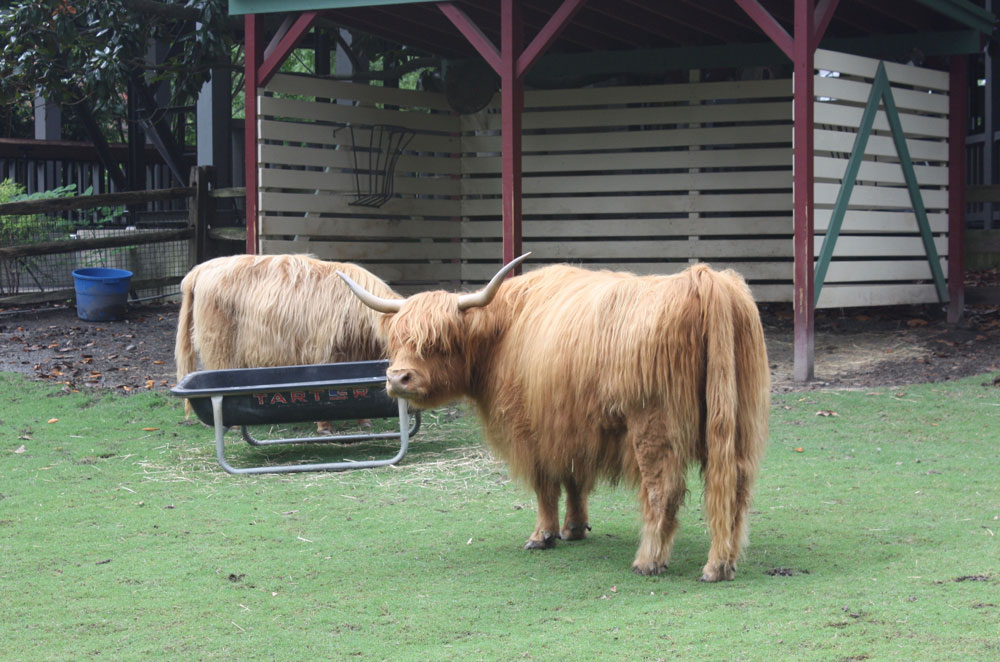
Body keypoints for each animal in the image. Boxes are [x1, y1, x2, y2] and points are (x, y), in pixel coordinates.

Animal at [340, 256, 768, 584]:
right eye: (397, 340)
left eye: (438, 342)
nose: (398, 378)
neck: (503, 334)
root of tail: (704, 280)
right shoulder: (570, 427)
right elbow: (574, 480)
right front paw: (574, 528)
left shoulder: (530, 429)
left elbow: (545, 485)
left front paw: (542, 535)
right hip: (738, 422)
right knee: (735, 486)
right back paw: (721, 564)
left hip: (652, 425)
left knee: (664, 489)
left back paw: (649, 560)